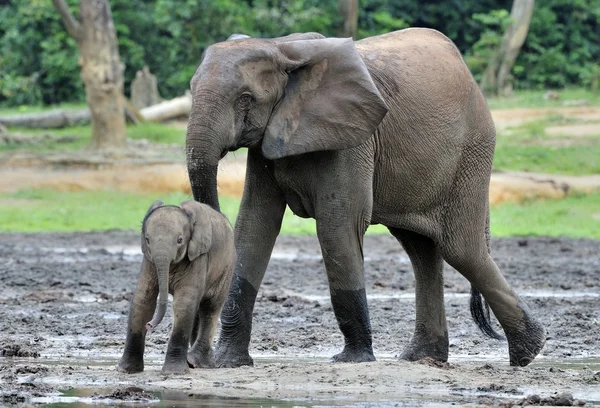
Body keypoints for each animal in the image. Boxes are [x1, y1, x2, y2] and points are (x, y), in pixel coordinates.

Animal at [116, 199, 236, 374]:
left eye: (180, 240)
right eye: (147, 240)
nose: (149, 325)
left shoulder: (198, 257)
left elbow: (184, 302)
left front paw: (173, 372)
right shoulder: (148, 260)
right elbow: (143, 298)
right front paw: (125, 370)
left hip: (227, 268)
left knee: (211, 307)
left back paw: (195, 363)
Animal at [185, 27, 548, 366]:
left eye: (245, 98)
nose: (193, 356)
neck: (283, 49)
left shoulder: (351, 140)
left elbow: (336, 229)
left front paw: (352, 360)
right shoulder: (267, 143)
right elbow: (254, 227)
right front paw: (227, 362)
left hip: (472, 152)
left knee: (461, 249)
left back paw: (528, 351)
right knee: (422, 251)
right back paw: (422, 357)